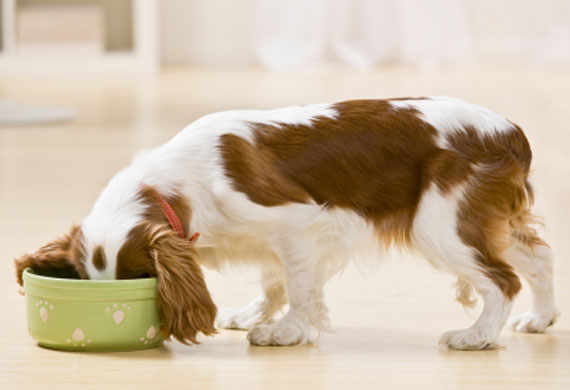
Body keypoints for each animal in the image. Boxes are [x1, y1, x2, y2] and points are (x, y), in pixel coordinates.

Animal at [15, 96, 556, 348]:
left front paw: (285, 331)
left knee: (502, 280)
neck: (176, 184)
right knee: (538, 257)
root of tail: (510, 132)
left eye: (140, 280)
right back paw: (541, 318)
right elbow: (273, 279)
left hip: (440, 225)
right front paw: (256, 313)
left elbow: (298, 286)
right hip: (483, 220)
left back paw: (476, 336)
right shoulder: (268, 240)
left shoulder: (295, 224)